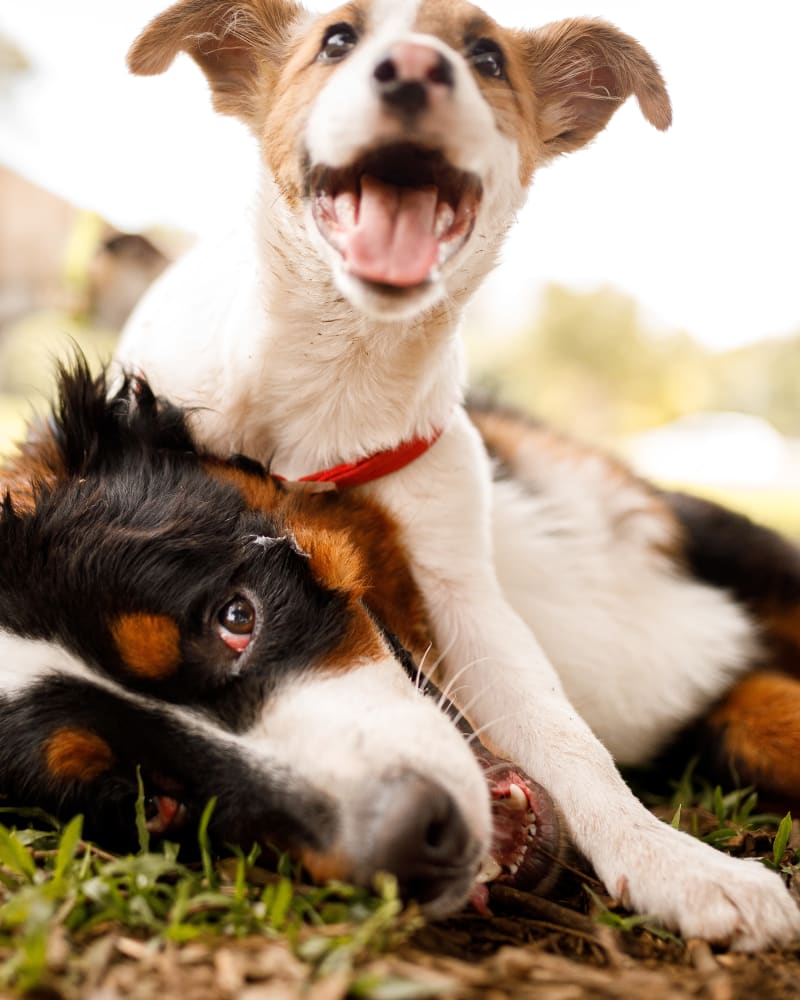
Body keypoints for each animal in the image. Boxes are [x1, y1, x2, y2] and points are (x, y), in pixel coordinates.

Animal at [111, 0, 800, 944]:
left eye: (486, 57)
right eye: (336, 40)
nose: (411, 70)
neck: (338, 378)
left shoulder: (460, 591)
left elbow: (564, 735)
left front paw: (672, 860)